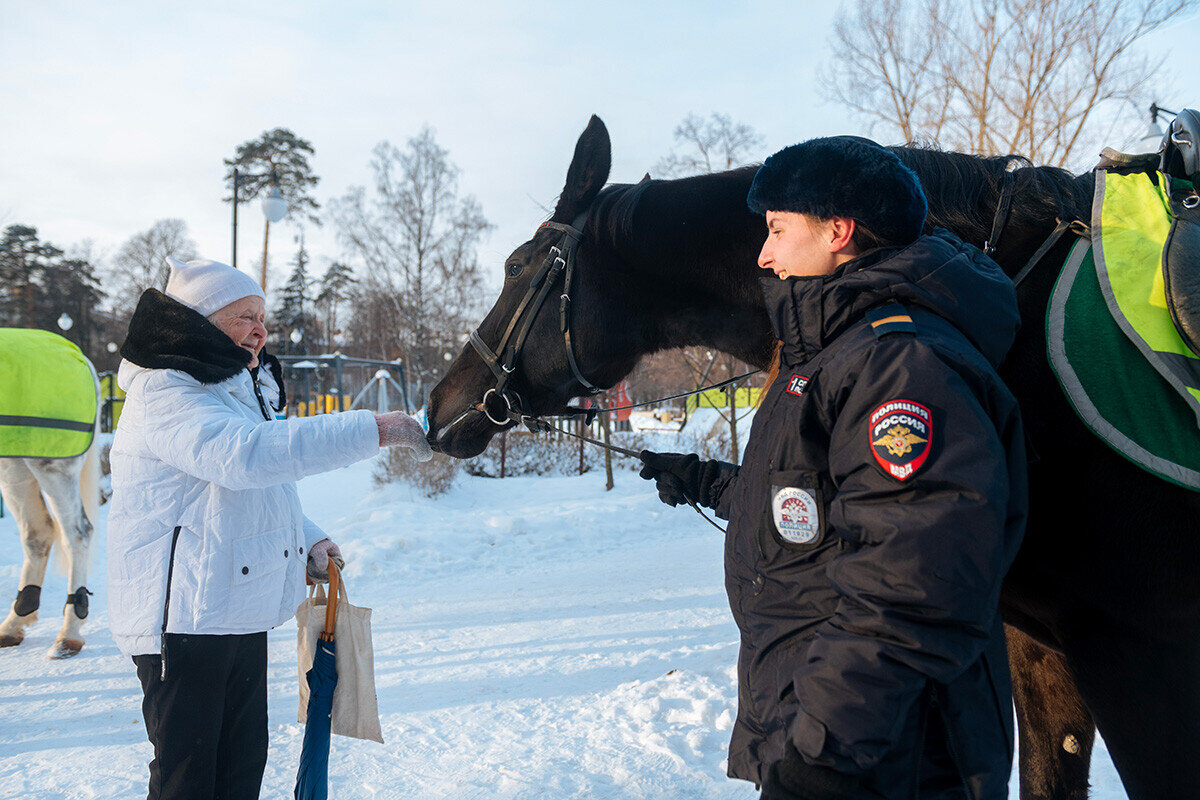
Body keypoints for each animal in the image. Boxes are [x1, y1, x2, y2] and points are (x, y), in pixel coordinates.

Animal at [0, 328, 100, 662]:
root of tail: (77, 353)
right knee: (38, 534)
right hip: (14, 465)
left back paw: (69, 634)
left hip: (52, 465)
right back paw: (13, 624)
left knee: (77, 532)